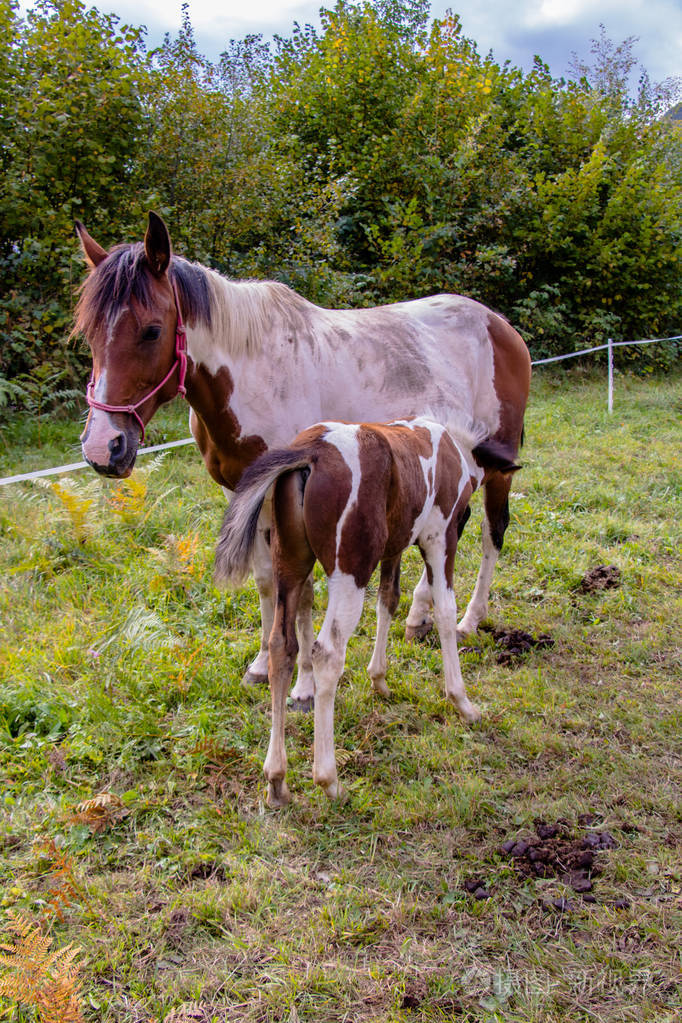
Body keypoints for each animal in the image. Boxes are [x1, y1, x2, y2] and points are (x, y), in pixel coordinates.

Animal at [215, 415, 519, 806]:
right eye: (464, 512)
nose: (468, 516)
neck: (454, 446)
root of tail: (310, 451)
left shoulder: (395, 545)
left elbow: (388, 601)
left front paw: (379, 680)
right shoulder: (439, 538)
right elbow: (445, 612)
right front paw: (462, 702)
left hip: (290, 566)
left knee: (281, 648)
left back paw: (277, 781)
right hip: (351, 571)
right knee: (328, 653)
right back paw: (328, 780)